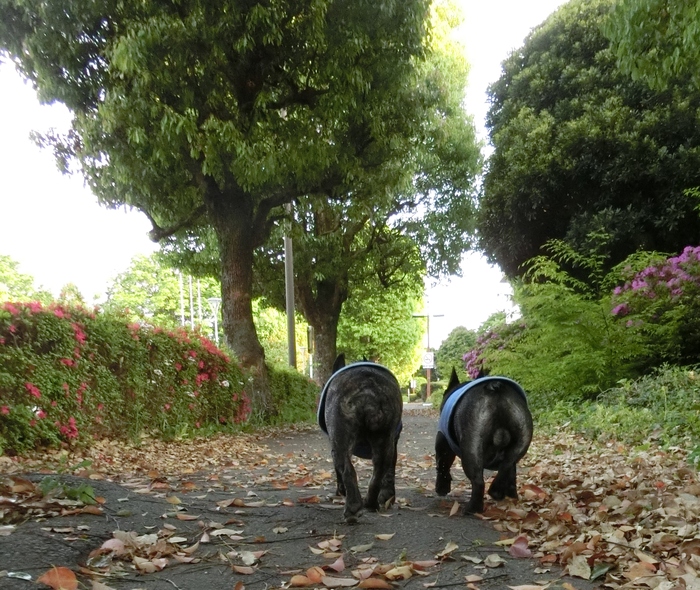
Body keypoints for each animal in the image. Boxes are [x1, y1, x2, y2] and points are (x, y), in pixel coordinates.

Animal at [318, 354, 404, 524]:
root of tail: (368, 391)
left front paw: (340, 490)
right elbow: (390, 471)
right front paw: (388, 496)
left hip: (340, 438)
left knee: (346, 469)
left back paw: (356, 506)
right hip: (383, 438)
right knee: (379, 469)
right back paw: (367, 504)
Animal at [434, 372, 532, 516]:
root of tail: (495, 387)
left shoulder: (443, 445)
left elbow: (442, 467)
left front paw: (441, 488)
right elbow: (512, 474)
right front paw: (511, 494)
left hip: (471, 448)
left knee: (478, 481)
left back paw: (472, 508)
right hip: (521, 441)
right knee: (507, 464)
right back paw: (498, 492)